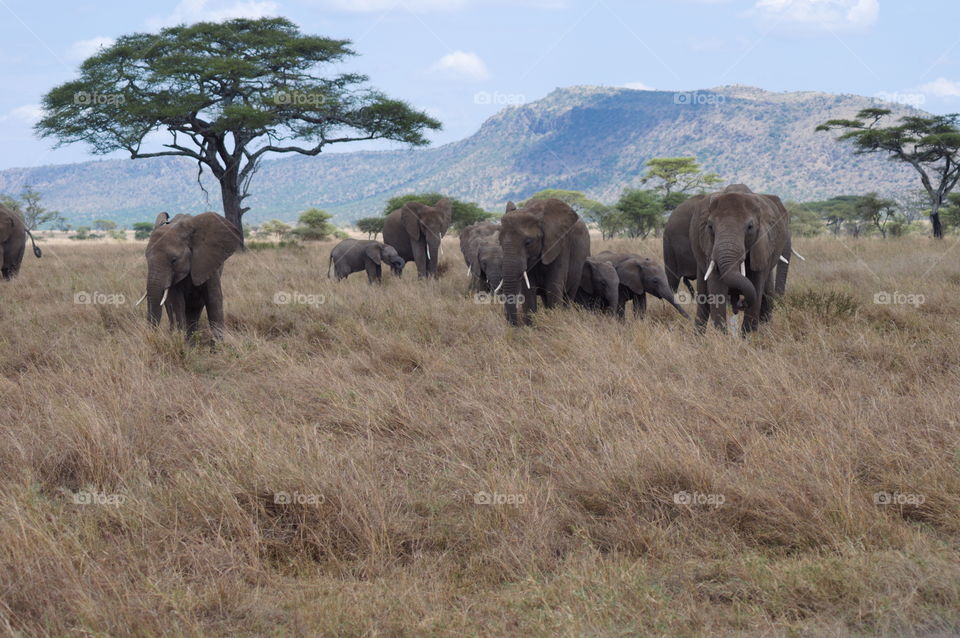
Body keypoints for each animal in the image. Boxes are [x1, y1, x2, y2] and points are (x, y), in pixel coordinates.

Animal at [141, 211, 242, 342]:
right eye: (146, 258)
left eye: (174, 260)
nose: (152, 337)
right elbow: (177, 303)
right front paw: (181, 341)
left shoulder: (208, 261)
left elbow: (214, 299)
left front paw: (219, 344)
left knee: (195, 308)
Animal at [498, 200, 588, 328]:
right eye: (499, 242)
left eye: (528, 242)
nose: (514, 325)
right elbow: (528, 290)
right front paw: (531, 328)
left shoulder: (560, 244)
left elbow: (553, 287)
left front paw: (555, 324)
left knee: (569, 294)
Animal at [692, 188, 792, 336]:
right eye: (710, 226)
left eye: (750, 227)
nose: (741, 303)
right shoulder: (709, 247)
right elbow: (716, 288)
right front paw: (723, 338)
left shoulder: (762, 244)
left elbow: (756, 286)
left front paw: (749, 338)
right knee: (703, 299)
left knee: (767, 294)